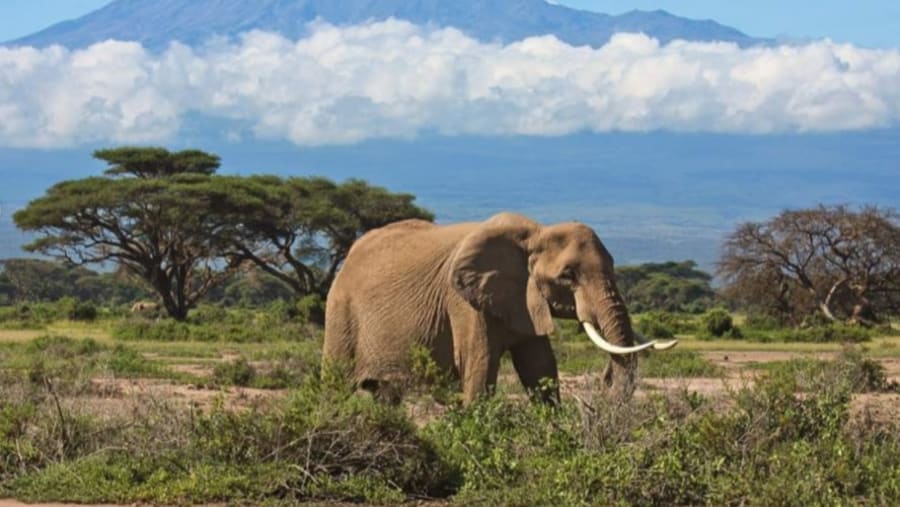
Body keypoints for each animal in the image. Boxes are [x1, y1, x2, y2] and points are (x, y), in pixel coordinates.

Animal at [323, 212, 677, 404]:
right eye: (568, 275)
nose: (604, 379)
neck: (535, 234)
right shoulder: (463, 303)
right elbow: (479, 371)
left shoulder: (524, 300)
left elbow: (541, 370)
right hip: (340, 311)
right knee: (335, 385)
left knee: (386, 395)